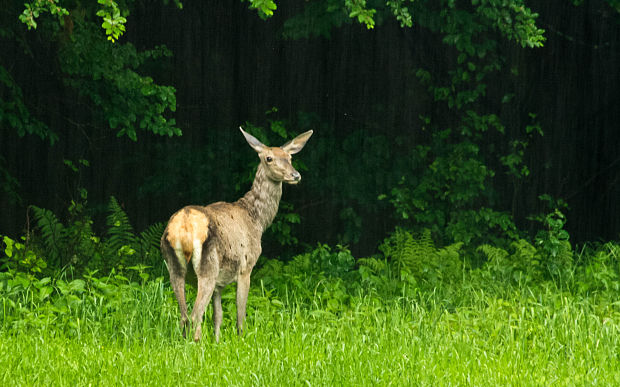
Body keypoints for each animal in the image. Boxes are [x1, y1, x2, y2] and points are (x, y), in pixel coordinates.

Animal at [161, 127, 312, 342]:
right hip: (208, 266)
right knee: (195, 315)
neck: (257, 221)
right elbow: (240, 313)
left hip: (173, 266)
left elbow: (218, 316)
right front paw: (242, 339)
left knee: (184, 316)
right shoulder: (246, 265)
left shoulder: (219, 283)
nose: (295, 175)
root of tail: (183, 229)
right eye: (269, 158)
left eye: (290, 157)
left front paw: (217, 341)